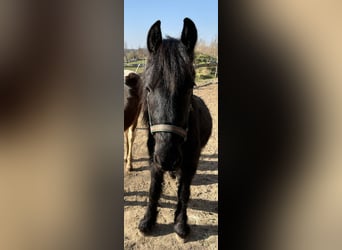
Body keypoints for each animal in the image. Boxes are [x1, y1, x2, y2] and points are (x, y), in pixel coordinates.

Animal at [138, 18, 212, 238]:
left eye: (190, 87)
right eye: (148, 88)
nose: (168, 157)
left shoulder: (190, 164)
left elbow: (184, 191)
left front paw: (180, 223)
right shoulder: (154, 161)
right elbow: (153, 190)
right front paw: (147, 221)